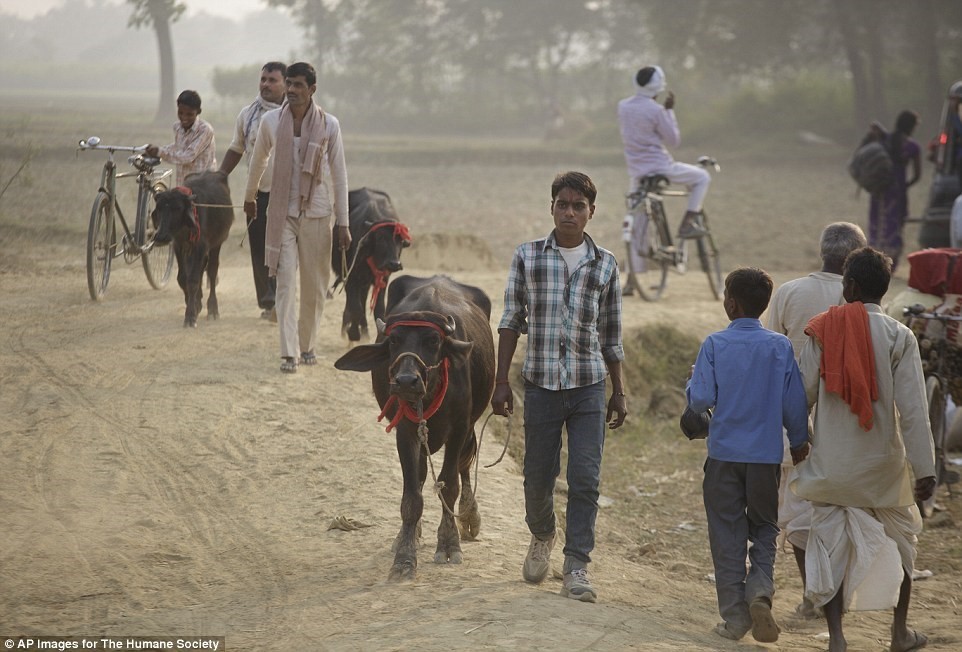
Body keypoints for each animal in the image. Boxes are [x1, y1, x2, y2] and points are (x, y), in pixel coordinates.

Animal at [156, 172, 236, 328]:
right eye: (160, 208)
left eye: (177, 208)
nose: (161, 236)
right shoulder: (179, 245)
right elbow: (182, 278)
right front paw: (193, 304)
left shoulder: (201, 246)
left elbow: (193, 279)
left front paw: (190, 316)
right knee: (201, 270)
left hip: (216, 243)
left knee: (211, 271)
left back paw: (212, 309)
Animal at [330, 186, 408, 342]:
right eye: (381, 238)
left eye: (400, 240)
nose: (394, 263)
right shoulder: (351, 278)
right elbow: (356, 307)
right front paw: (354, 333)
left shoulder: (383, 279)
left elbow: (379, 308)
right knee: (353, 303)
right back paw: (348, 328)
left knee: (363, 299)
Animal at [332, 276, 496, 580]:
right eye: (394, 340)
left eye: (433, 340)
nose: (406, 381)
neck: (429, 393)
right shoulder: (405, 431)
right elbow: (412, 496)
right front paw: (405, 556)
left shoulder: (459, 428)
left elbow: (450, 485)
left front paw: (449, 544)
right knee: (420, 475)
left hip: (470, 426)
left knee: (465, 466)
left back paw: (469, 516)